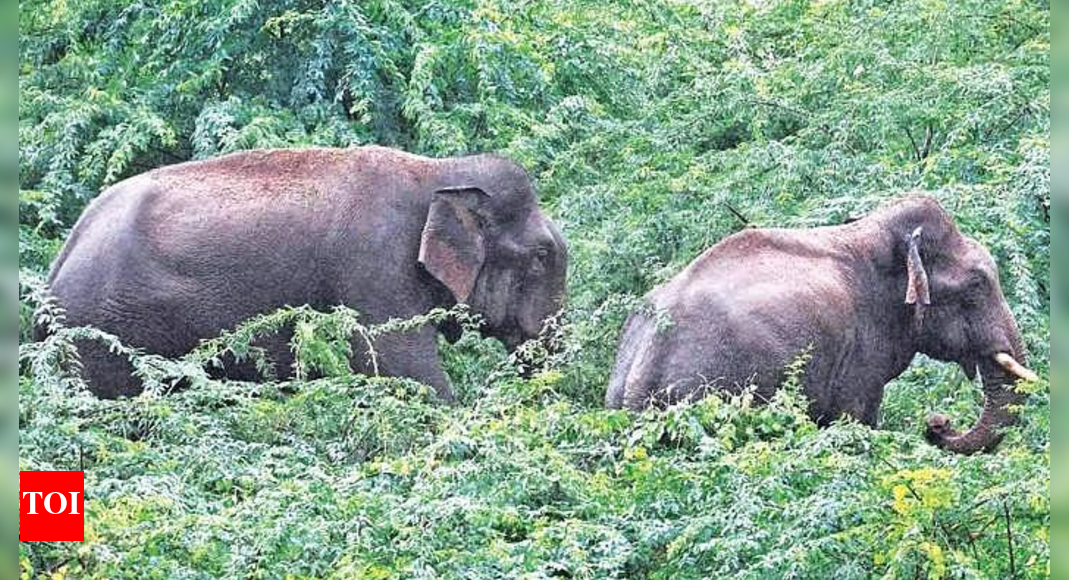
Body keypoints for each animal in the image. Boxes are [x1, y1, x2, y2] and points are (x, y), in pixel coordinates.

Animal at [605, 195, 1036, 454]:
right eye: (977, 285)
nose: (937, 423)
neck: (868, 231)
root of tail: (643, 367)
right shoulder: (859, 353)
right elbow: (856, 419)